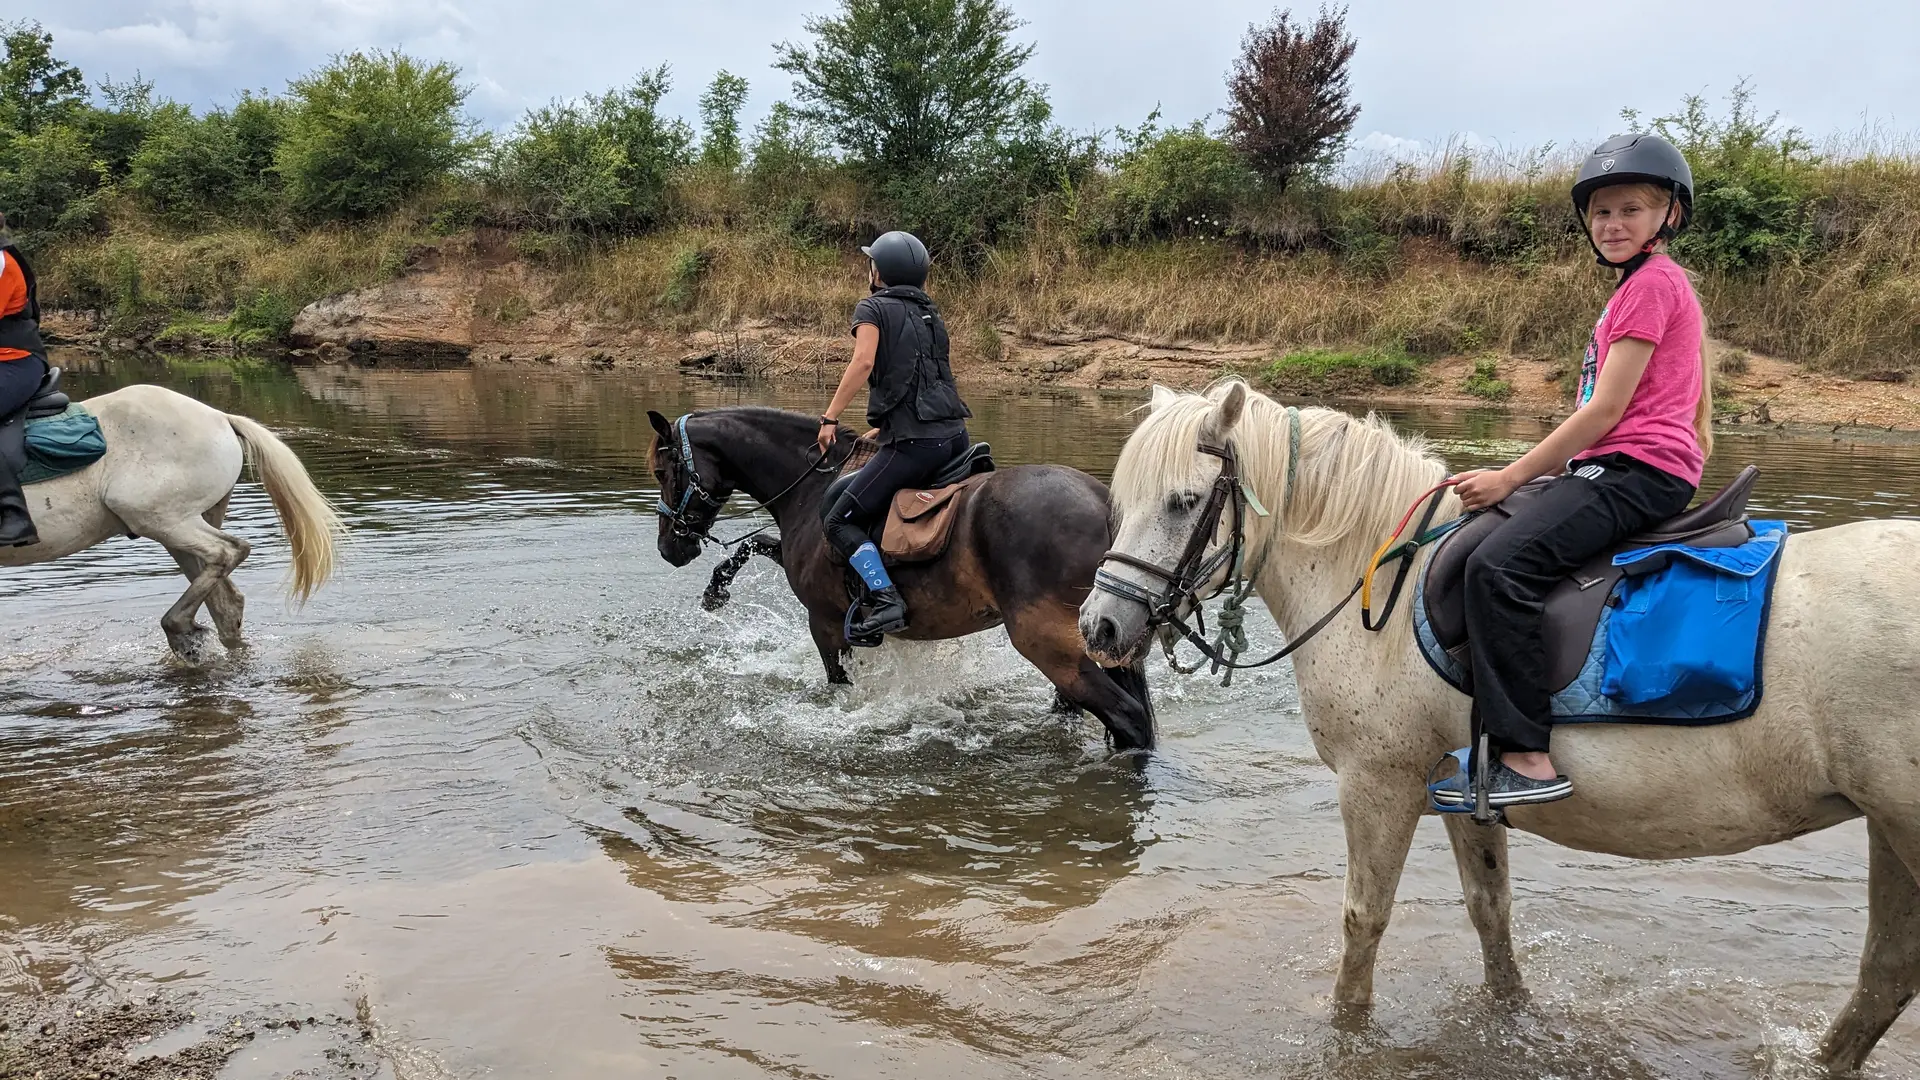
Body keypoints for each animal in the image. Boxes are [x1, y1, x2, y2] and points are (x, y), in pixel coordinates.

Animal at [0, 382, 341, 661]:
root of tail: (219, 417)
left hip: (162, 518)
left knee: (227, 552)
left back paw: (179, 629)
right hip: (180, 528)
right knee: (226, 599)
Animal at [645, 403, 1152, 749]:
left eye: (663, 471)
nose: (670, 549)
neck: (809, 485)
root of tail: (1107, 506)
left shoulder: (824, 622)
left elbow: (838, 683)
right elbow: (754, 544)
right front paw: (715, 592)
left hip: (1048, 642)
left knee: (1128, 716)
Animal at [1082, 378, 1920, 1068]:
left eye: (1183, 501)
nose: (1099, 627)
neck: (1386, 591)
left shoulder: (1378, 786)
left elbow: (1363, 921)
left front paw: (1345, 1031)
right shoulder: (1466, 790)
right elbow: (1492, 916)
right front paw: (1511, 1021)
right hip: (1889, 828)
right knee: (1885, 973)